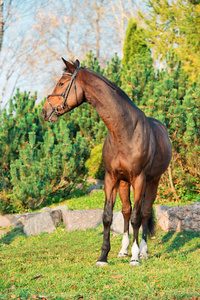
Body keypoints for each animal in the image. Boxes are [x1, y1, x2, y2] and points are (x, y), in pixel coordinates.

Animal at [41, 58, 172, 268]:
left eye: (61, 83)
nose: (45, 112)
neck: (124, 131)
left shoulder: (140, 179)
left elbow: (137, 217)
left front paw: (135, 257)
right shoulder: (111, 178)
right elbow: (108, 216)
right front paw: (103, 257)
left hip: (153, 181)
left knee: (144, 213)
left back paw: (142, 251)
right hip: (124, 182)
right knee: (126, 211)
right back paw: (123, 250)